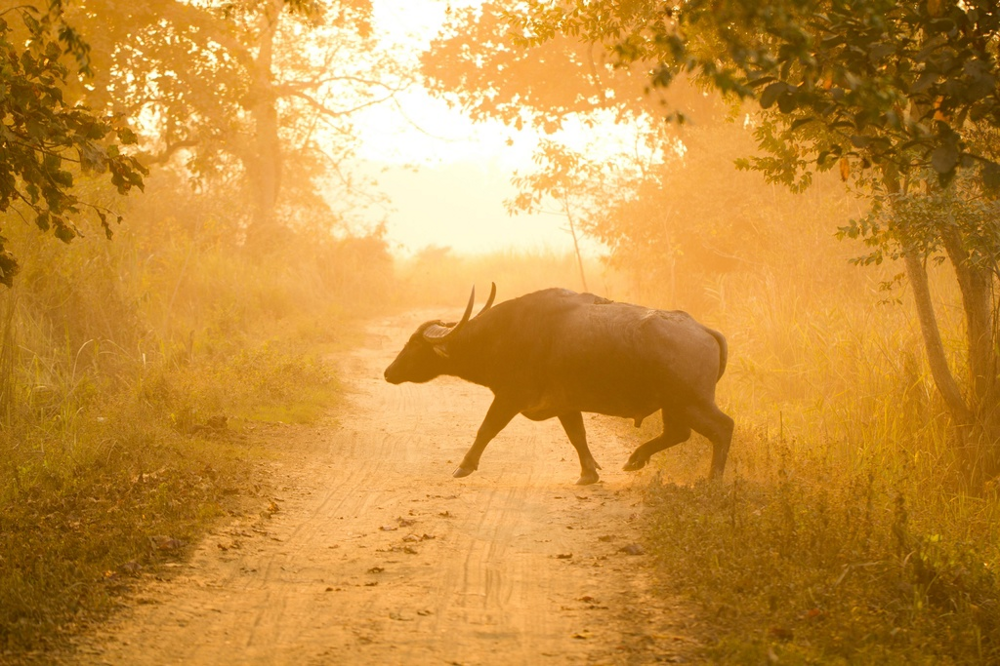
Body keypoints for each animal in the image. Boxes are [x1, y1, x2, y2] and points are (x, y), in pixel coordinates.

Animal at [384, 284, 736, 482]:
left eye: (414, 344)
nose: (388, 372)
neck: (503, 334)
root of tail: (704, 330)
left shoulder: (509, 397)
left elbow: (486, 429)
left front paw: (464, 466)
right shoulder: (566, 405)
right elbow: (577, 436)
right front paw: (589, 473)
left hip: (691, 403)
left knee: (723, 428)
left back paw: (713, 482)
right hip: (674, 406)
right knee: (678, 434)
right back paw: (635, 459)